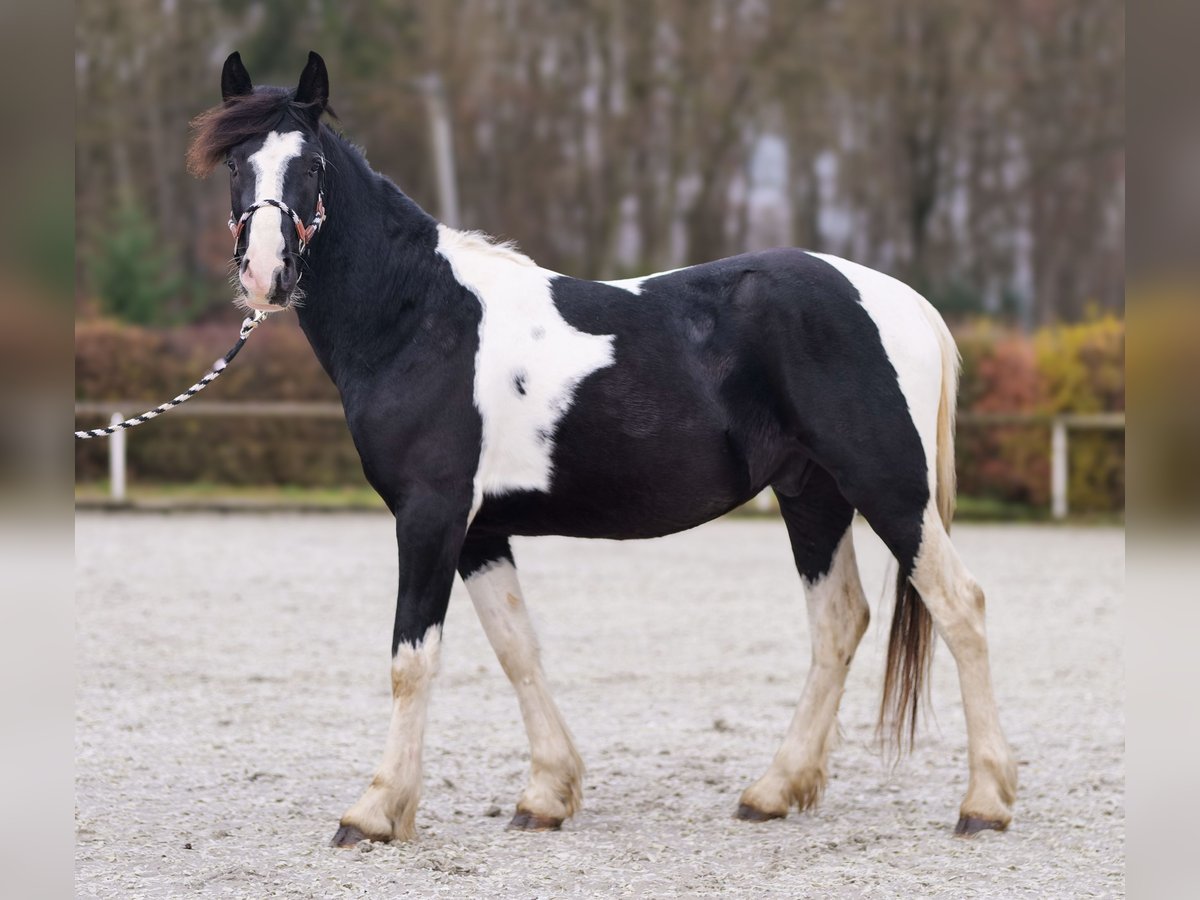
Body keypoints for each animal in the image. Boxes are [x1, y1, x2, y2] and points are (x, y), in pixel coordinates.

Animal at [184, 52, 1012, 849]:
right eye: (237, 164)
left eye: (310, 166)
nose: (266, 272)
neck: (420, 316)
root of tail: (899, 300)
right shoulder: (479, 531)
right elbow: (517, 648)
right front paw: (548, 795)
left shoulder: (429, 516)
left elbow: (412, 660)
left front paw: (375, 811)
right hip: (813, 495)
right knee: (839, 621)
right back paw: (774, 791)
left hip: (890, 490)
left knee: (961, 606)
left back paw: (984, 803)